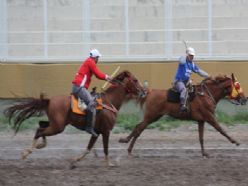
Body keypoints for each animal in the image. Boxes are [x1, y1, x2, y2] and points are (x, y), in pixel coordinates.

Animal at [4, 70, 145, 166]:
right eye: (135, 80)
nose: (144, 91)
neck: (109, 101)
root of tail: (49, 101)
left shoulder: (97, 132)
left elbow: (88, 148)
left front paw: (75, 160)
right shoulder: (106, 131)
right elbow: (105, 148)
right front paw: (110, 163)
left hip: (55, 123)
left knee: (41, 125)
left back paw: (40, 145)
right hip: (58, 127)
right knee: (40, 131)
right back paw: (26, 152)